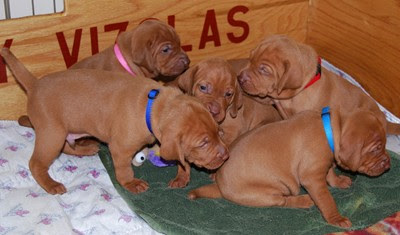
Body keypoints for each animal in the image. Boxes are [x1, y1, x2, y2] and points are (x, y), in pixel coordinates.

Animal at [0, 47, 228, 195]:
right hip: (51, 133)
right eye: (203, 143)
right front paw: (131, 183)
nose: (226, 156)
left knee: (66, 146)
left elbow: (181, 160)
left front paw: (182, 176)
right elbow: (124, 169)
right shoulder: (121, 147)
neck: (154, 104)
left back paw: (85, 150)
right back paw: (51, 185)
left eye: (218, 132)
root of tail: (35, 84)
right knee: (36, 162)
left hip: (61, 131)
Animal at [188, 108, 390, 228]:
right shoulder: (311, 177)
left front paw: (338, 181)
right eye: (376, 148)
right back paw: (303, 200)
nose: (388, 164)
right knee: (282, 201)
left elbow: (330, 173)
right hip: (269, 192)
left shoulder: (323, 164)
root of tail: (220, 186)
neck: (331, 128)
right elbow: (326, 200)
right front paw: (336, 218)